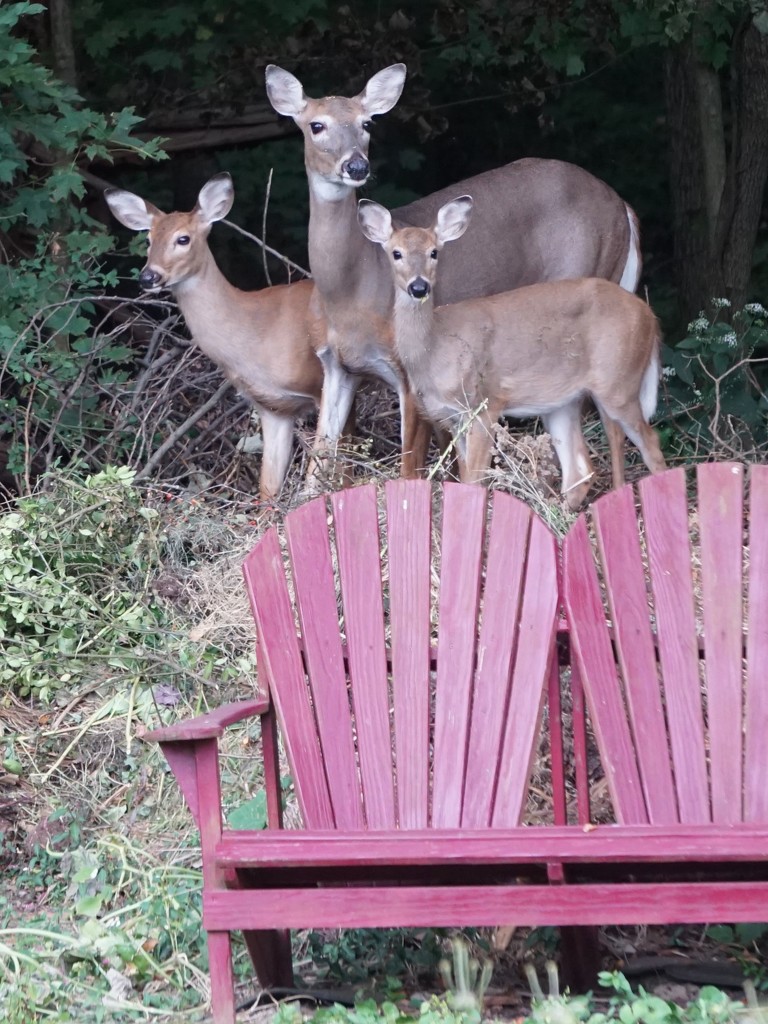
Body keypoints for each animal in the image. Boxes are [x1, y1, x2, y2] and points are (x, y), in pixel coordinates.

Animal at [103, 174, 325, 501]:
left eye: (183, 239)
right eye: (148, 240)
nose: (148, 277)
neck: (259, 329)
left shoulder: (322, 382)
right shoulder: (273, 407)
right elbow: (268, 489)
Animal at [264, 62, 643, 487]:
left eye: (366, 123)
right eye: (316, 125)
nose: (357, 166)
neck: (351, 291)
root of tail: (623, 207)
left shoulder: (407, 369)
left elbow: (409, 466)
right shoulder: (335, 364)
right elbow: (318, 463)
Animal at [360, 194, 667, 507]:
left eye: (434, 252)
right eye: (396, 253)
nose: (419, 287)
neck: (436, 346)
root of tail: (650, 316)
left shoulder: (485, 404)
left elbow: (474, 480)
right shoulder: (454, 418)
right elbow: (464, 476)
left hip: (618, 382)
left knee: (650, 444)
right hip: (562, 401)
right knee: (579, 470)